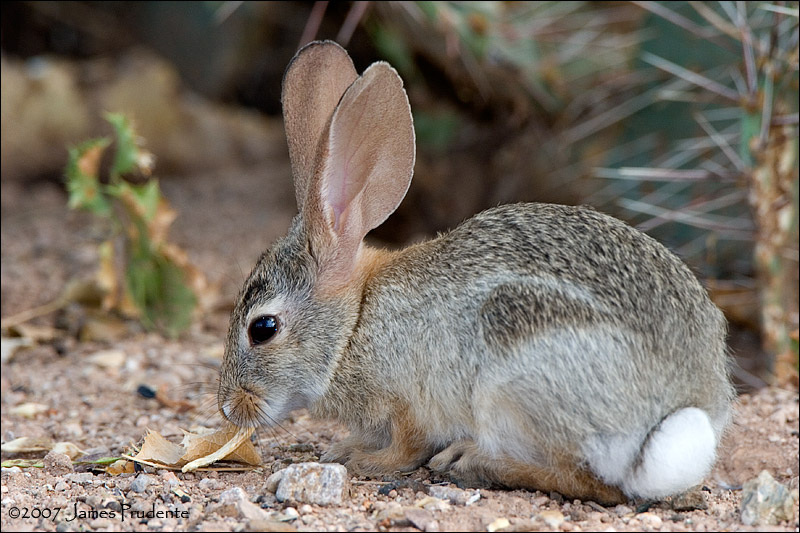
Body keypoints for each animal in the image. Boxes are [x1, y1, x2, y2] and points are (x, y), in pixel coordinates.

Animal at [216, 41, 736, 502]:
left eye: (263, 328)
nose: (228, 406)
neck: (352, 325)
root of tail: (681, 408)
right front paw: (346, 447)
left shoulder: (409, 403)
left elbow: (406, 447)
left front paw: (362, 460)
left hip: (515, 384)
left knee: (592, 482)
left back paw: (475, 463)